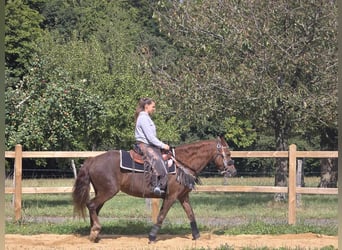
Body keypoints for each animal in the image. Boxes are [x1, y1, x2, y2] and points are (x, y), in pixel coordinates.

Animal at [73, 136, 235, 243]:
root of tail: (92, 160)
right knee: (91, 205)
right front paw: (152, 237)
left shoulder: (183, 197)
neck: (181, 164)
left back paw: (94, 234)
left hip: (102, 192)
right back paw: (95, 230)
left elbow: (191, 214)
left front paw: (197, 236)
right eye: (227, 154)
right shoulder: (171, 197)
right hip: (108, 191)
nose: (233, 171)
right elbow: (161, 216)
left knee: (95, 208)